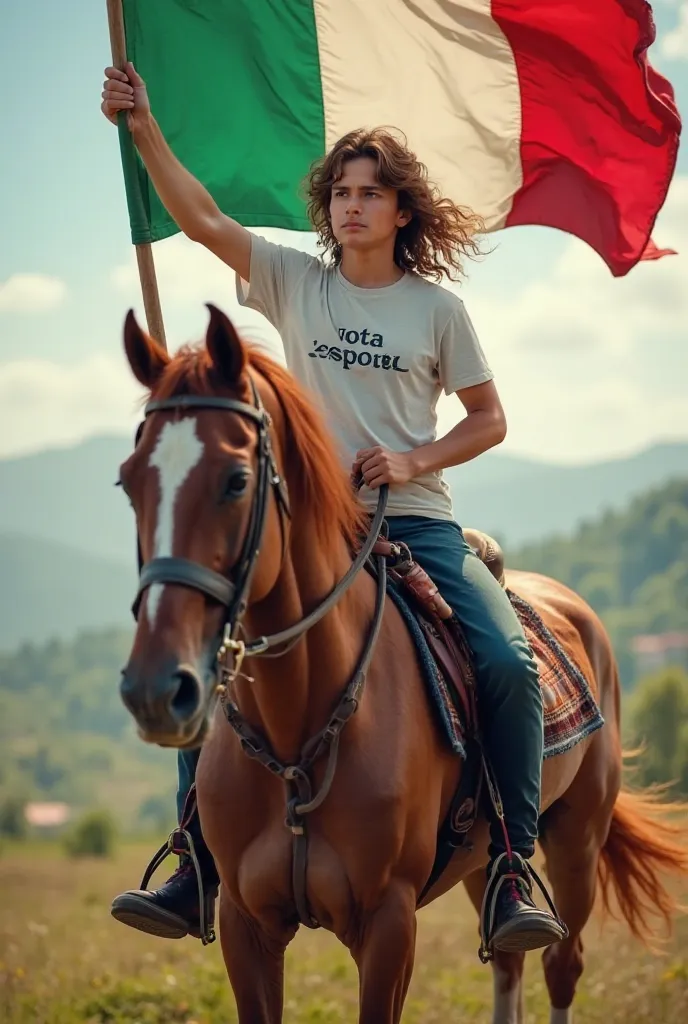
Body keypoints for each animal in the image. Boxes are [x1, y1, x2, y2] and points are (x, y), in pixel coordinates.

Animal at [119, 305, 688, 1024]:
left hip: (577, 838)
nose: (155, 688)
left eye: (236, 480)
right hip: (482, 864)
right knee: (507, 957)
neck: (302, 729)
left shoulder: (389, 924)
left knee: (562, 962)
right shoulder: (247, 926)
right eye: (128, 480)